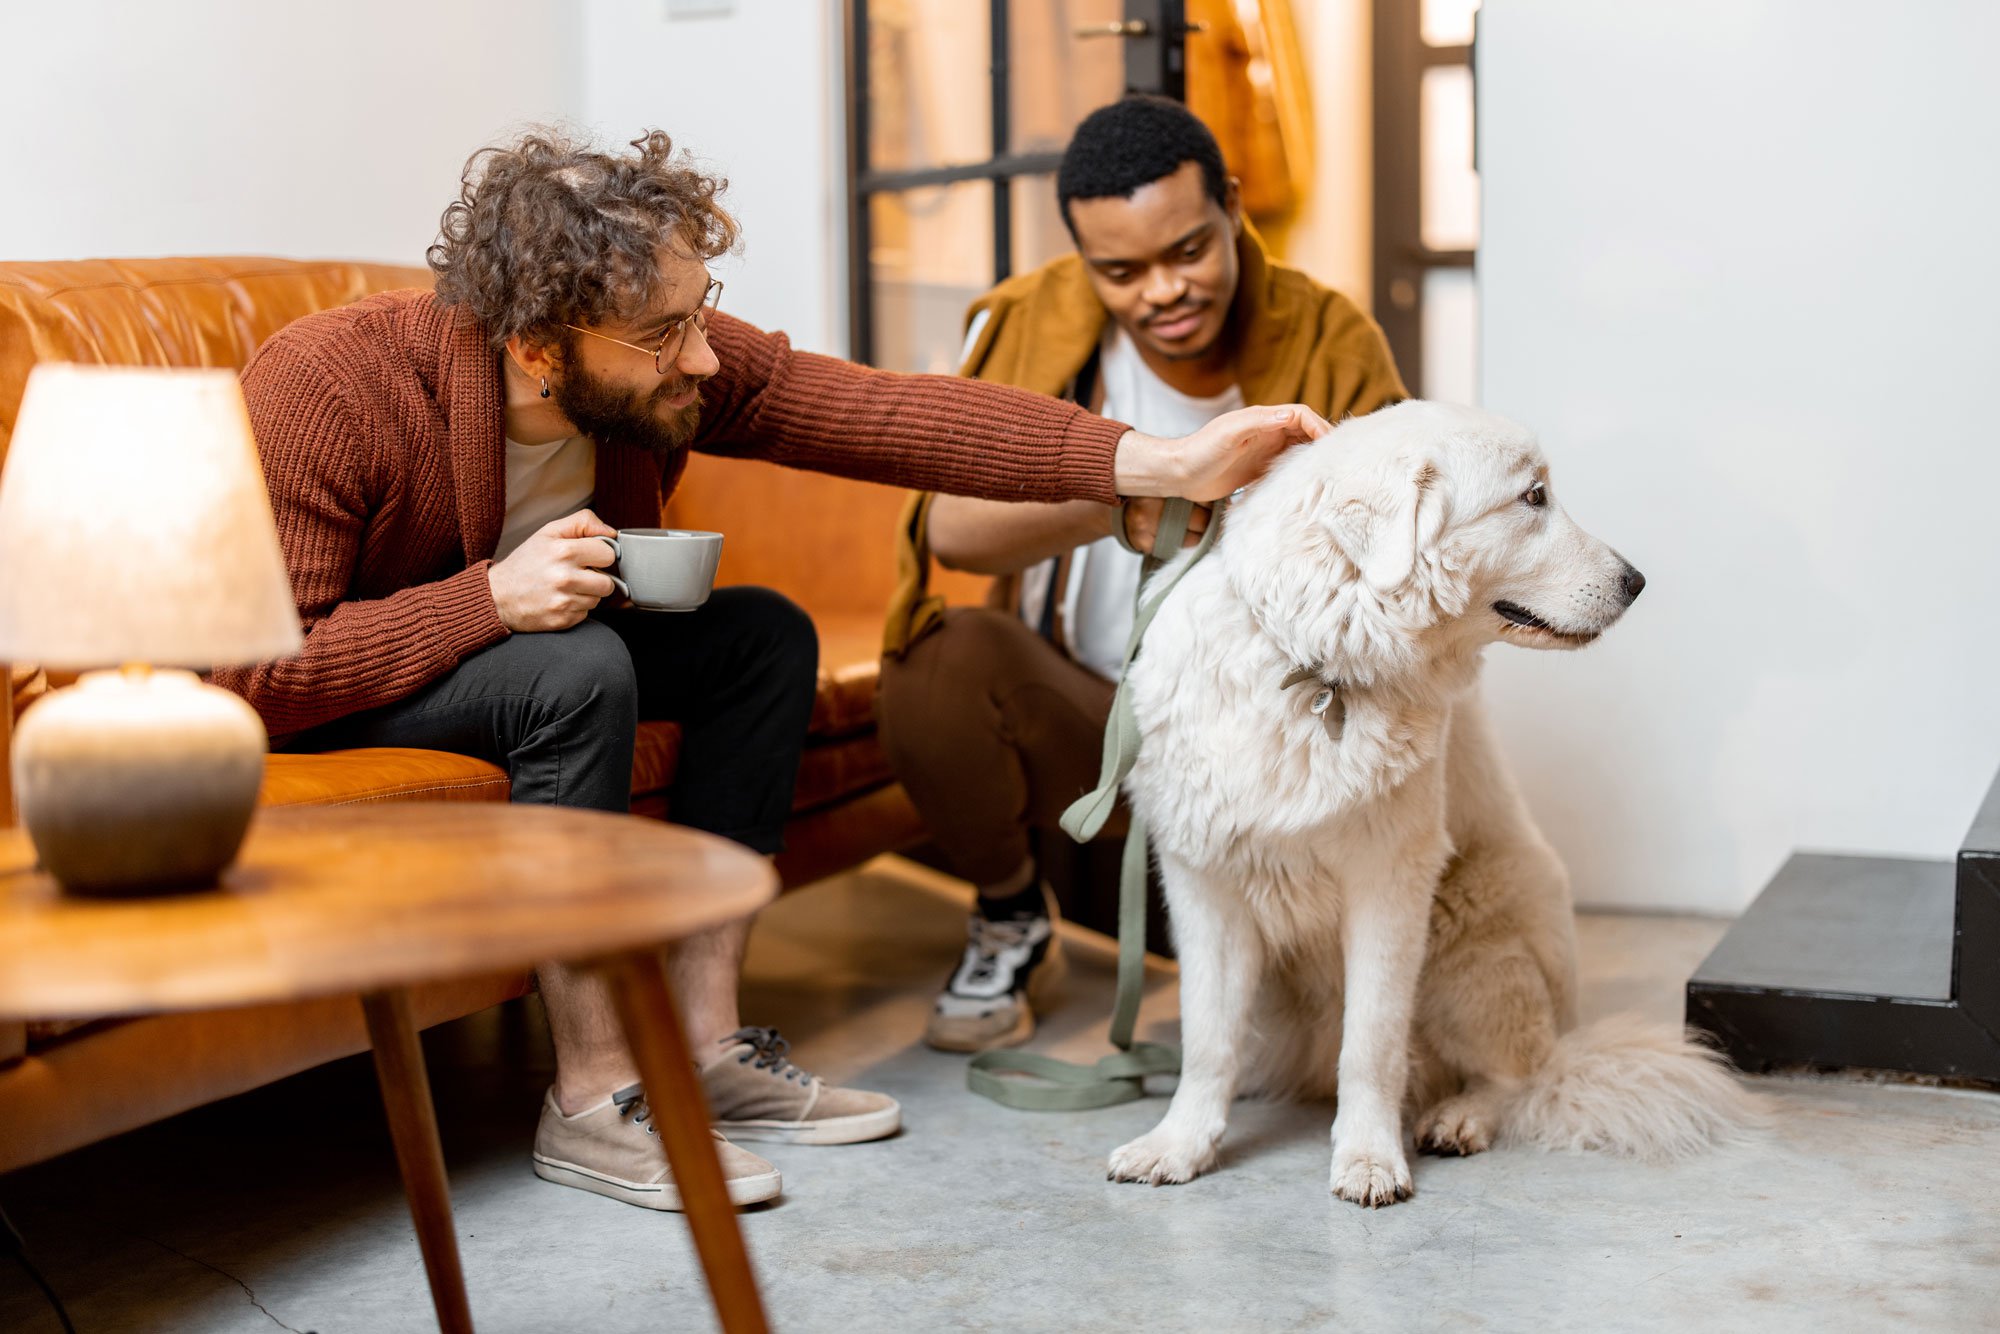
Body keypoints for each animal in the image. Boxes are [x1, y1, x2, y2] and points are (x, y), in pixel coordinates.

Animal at [1120, 402, 1760, 1208]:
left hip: (1474, 945)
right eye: (1533, 497)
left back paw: (1458, 1118)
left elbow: (1370, 1045)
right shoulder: (1203, 883)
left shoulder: (1390, 885)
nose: (1638, 581)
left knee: (1518, 1077)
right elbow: (1207, 1041)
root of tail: (1569, 1036)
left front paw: (1368, 1158)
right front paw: (1179, 1145)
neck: (1313, 664)